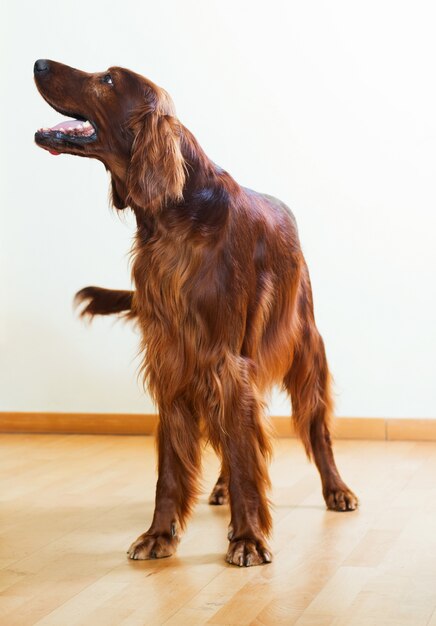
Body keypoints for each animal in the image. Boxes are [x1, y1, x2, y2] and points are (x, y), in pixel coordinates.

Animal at [32, 58, 356, 564]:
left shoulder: (225, 359)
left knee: (315, 428)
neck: (175, 216)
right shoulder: (173, 361)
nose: (38, 63)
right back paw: (221, 488)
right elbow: (175, 466)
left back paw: (336, 490)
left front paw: (247, 538)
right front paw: (159, 534)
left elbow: (245, 452)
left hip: (304, 349)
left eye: (108, 79)